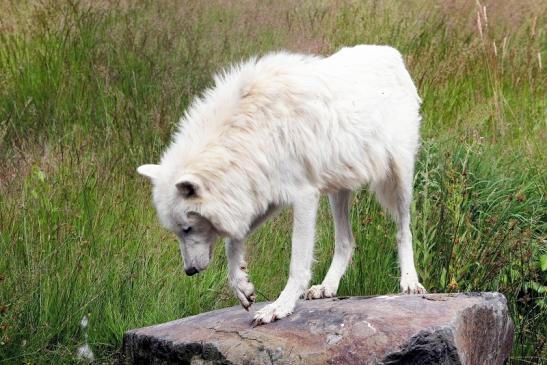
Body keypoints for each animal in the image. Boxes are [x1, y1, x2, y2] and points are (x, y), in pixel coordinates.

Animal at [138, 44, 428, 322]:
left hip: (399, 177)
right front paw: (241, 285)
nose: (189, 271)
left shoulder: (303, 196)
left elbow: (297, 264)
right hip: (338, 188)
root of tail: (391, 53)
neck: (250, 129)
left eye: (187, 229)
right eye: (177, 232)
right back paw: (327, 287)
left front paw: (279, 308)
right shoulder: (264, 193)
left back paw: (409, 282)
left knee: (403, 230)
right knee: (346, 241)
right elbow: (234, 241)